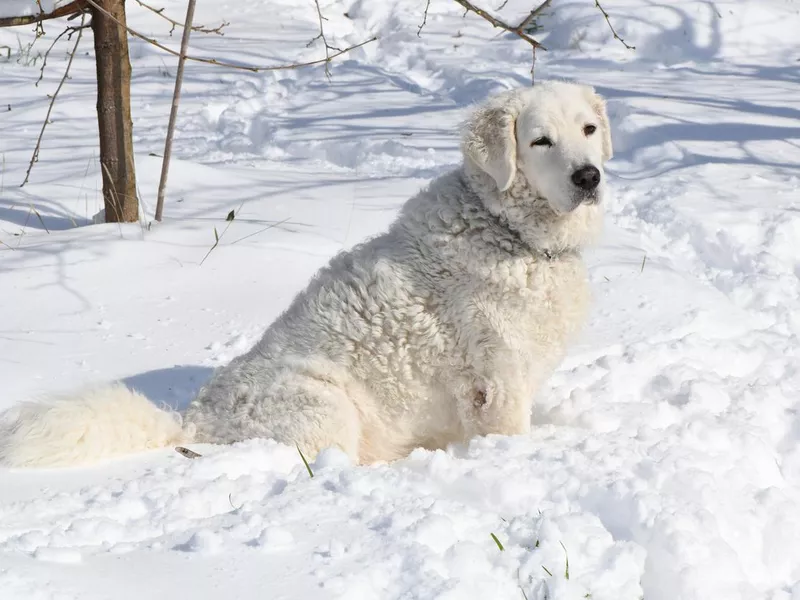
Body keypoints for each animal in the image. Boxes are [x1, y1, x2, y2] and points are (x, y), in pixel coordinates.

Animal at [0, 79, 612, 466]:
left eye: (587, 129)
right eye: (540, 140)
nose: (589, 177)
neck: (510, 231)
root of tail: (194, 425)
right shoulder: (496, 381)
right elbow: (508, 430)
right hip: (327, 404)